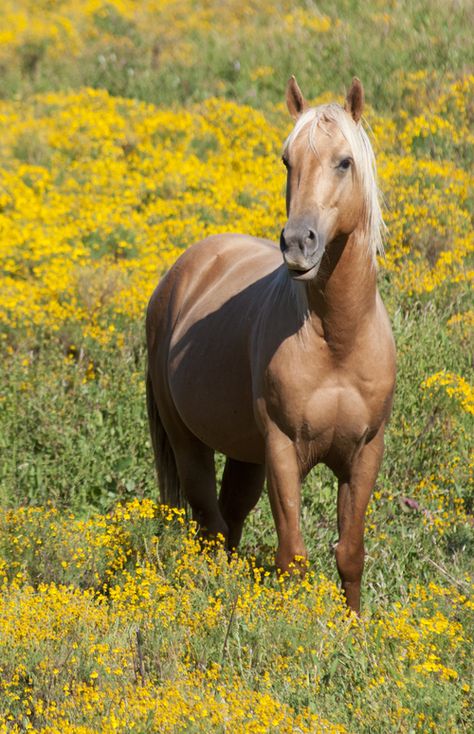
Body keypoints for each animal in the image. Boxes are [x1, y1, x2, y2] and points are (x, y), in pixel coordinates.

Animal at [147, 77, 396, 612]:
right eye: (287, 161)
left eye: (344, 161)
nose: (298, 243)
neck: (337, 340)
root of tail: (186, 268)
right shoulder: (282, 449)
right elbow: (293, 558)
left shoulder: (365, 452)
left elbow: (351, 554)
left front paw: (354, 626)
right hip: (189, 441)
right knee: (211, 523)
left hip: (245, 453)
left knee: (229, 519)